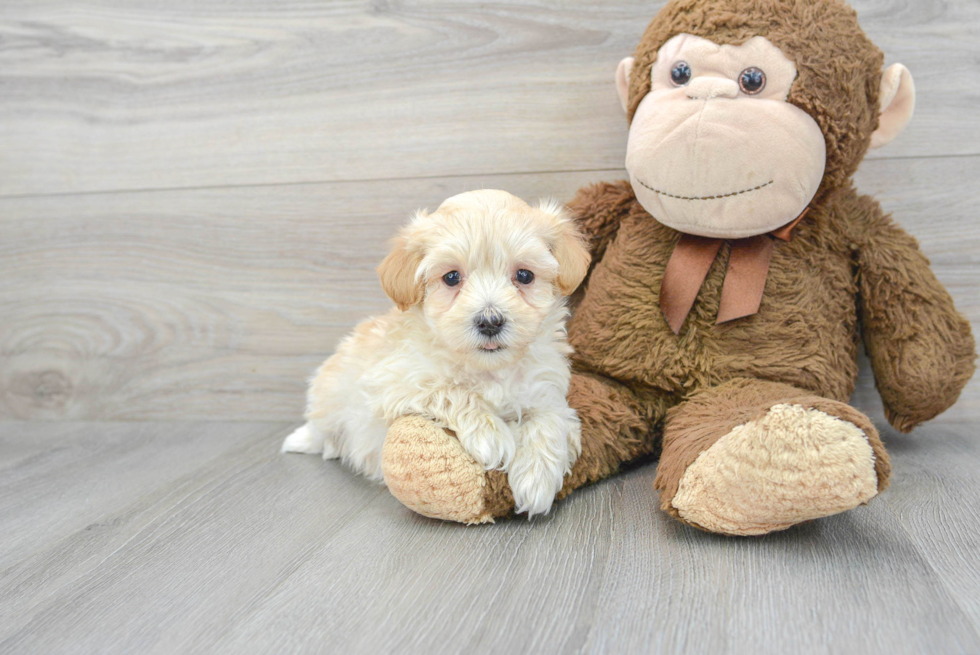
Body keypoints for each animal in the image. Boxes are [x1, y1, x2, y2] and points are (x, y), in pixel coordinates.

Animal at [280, 188, 592, 516]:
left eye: (524, 275)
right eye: (452, 277)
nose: (490, 321)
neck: (489, 369)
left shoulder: (547, 389)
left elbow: (550, 419)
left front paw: (537, 478)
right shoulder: (392, 381)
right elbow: (450, 390)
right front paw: (491, 435)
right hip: (329, 391)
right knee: (320, 425)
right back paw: (307, 441)